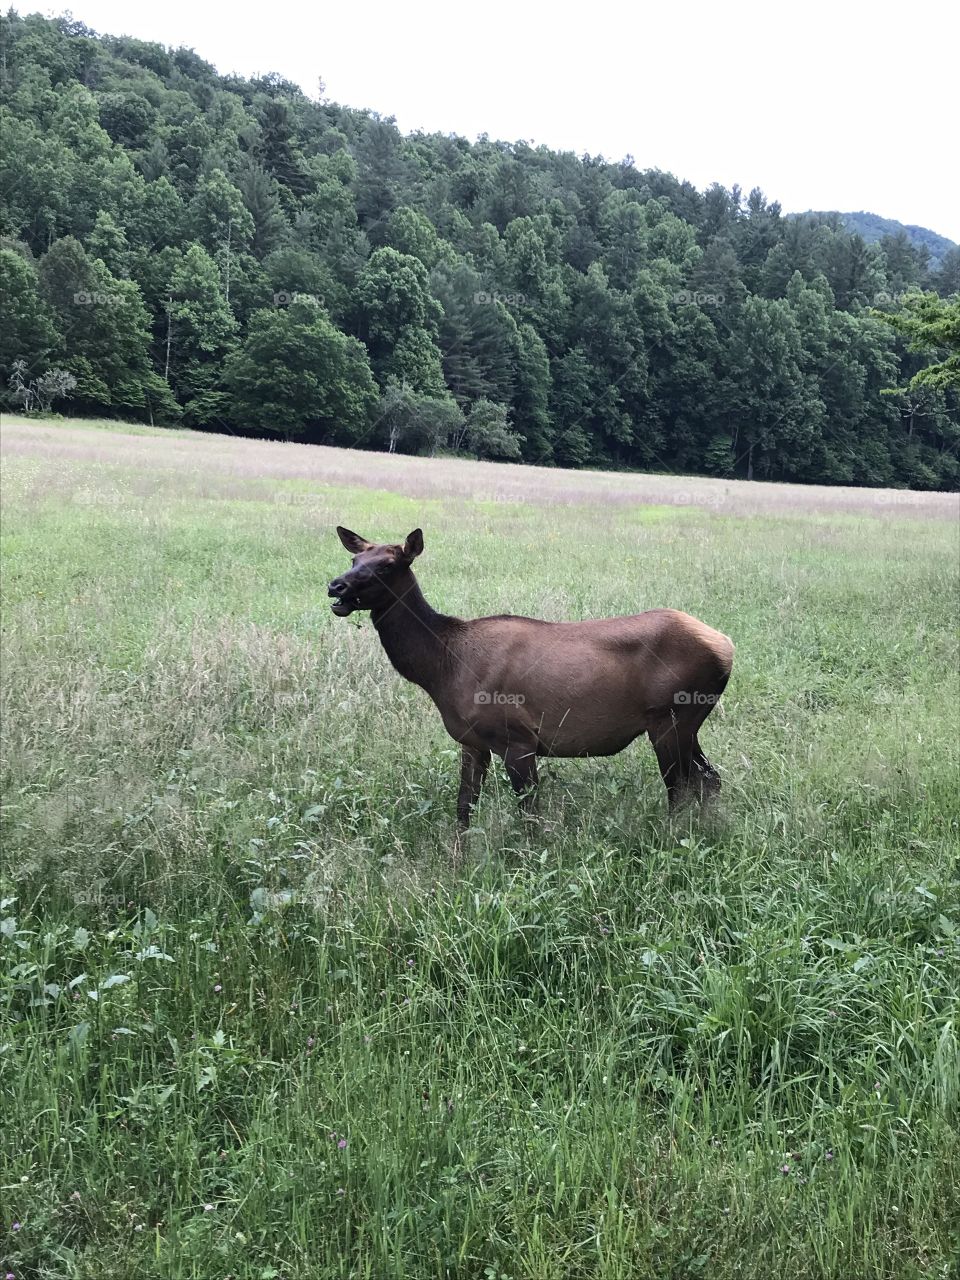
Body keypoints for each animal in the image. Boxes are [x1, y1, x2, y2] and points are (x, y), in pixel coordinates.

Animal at [328, 526, 734, 832]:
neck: (443, 668)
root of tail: (727, 647)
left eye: (388, 565)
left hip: (672, 717)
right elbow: (463, 809)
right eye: (354, 559)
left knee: (681, 788)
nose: (336, 586)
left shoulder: (517, 738)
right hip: (684, 723)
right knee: (709, 780)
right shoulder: (471, 741)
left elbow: (528, 816)